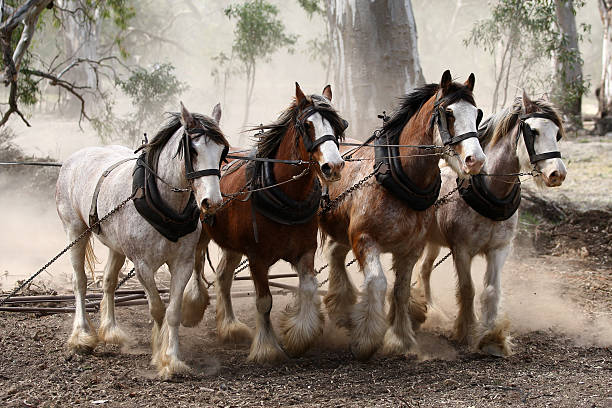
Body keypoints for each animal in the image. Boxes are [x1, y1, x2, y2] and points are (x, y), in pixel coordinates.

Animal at [189, 83, 346, 364]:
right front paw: (267, 348)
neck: (286, 195)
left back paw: (229, 326)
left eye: (337, 126)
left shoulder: (305, 251)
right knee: (197, 267)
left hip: (231, 244)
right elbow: (264, 301)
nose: (334, 166)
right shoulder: (257, 257)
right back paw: (194, 304)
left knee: (223, 277)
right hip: (201, 235)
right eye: (307, 125)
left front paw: (299, 336)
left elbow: (309, 288)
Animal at [320, 71, 488, 360]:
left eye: (476, 114)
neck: (399, 177)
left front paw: (400, 339)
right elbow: (377, 283)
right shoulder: (364, 240)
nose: (475, 160)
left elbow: (400, 290)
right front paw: (367, 338)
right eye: (448, 113)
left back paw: (341, 306)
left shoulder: (411, 248)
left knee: (334, 254)